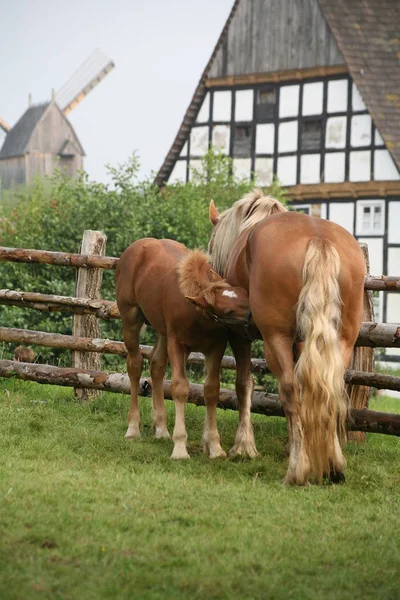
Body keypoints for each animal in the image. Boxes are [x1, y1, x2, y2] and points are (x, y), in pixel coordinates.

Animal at [114, 238, 248, 460]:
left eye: (244, 294)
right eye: (228, 310)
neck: (196, 313)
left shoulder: (216, 347)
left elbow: (212, 390)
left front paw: (215, 446)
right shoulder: (177, 344)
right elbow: (180, 388)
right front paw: (179, 447)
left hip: (162, 330)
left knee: (156, 365)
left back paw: (161, 429)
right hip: (130, 319)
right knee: (135, 365)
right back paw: (133, 428)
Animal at [206, 190, 366, 486]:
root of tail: (318, 238)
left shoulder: (240, 334)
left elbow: (244, 384)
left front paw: (244, 446)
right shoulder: (301, 341)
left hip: (275, 338)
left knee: (290, 390)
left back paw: (297, 470)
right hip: (343, 340)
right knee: (329, 388)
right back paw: (332, 465)